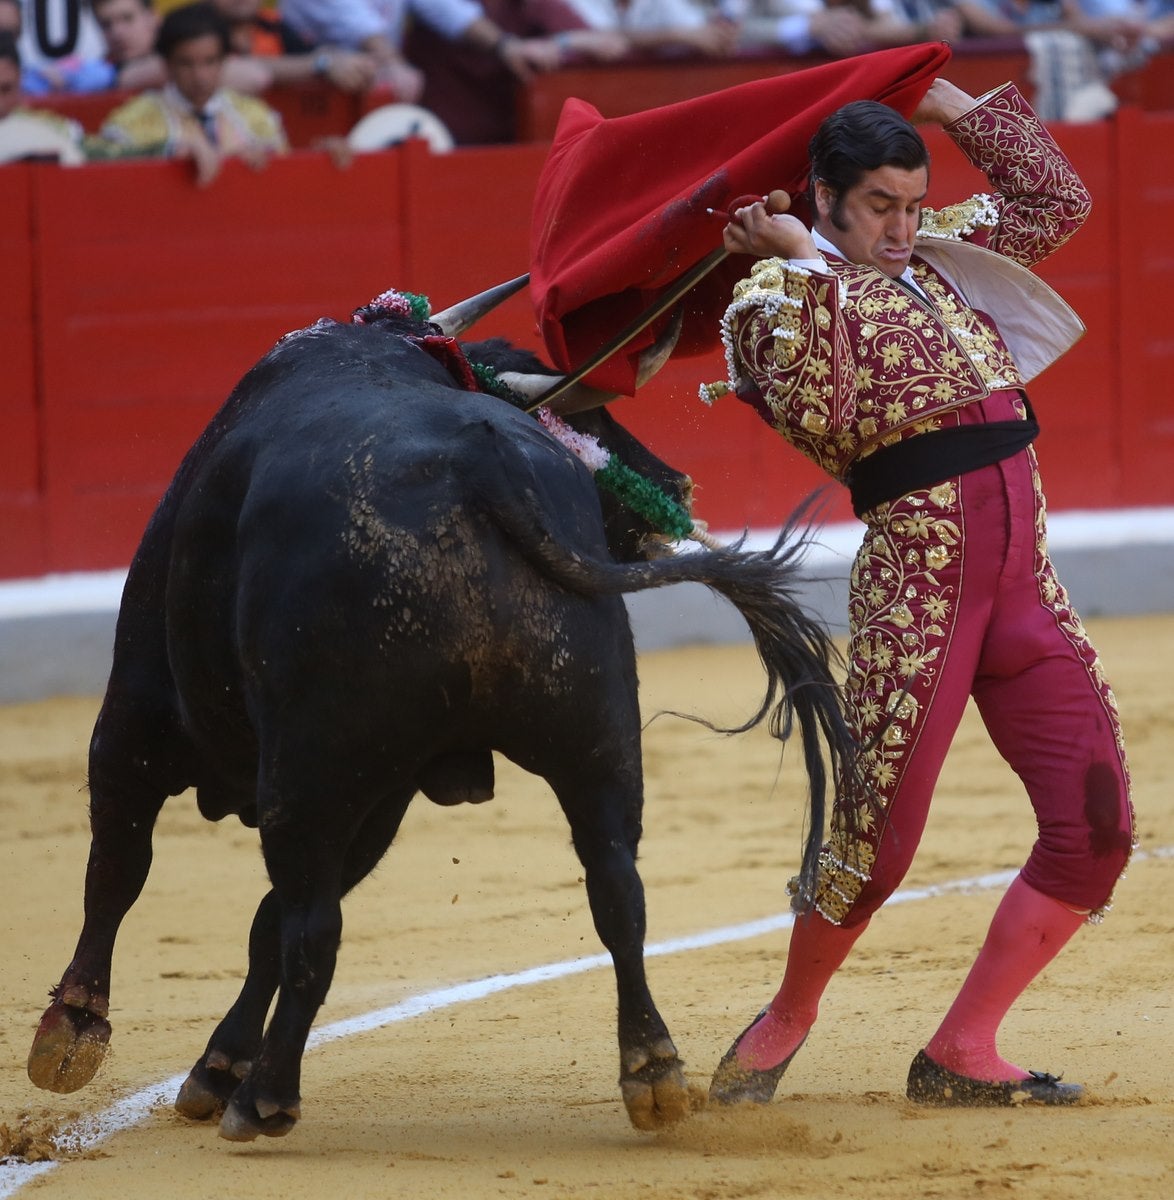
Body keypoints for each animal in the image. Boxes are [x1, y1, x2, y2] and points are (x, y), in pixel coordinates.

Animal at [22, 278, 854, 1142]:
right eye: (588, 425)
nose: (677, 486)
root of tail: (480, 468)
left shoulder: (137, 715)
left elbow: (122, 872)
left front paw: (72, 1036)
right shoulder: (387, 793)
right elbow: (256, 923)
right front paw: (210, 1067)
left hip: (314, 767)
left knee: (312, 927)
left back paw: (267, 1099)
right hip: (593, 736)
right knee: (616, 891)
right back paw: (653, 1074)